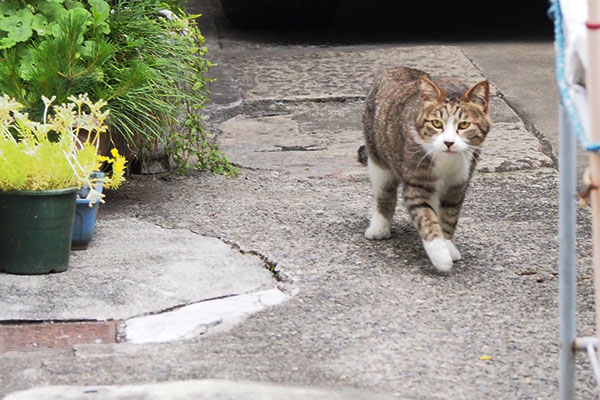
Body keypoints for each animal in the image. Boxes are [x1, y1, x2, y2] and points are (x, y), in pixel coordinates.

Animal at [360, 67, 492, 272]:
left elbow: (449, 218)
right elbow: (426, 218)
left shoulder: (458, 185)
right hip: (378, 158)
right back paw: (379, 227)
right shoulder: (417, 185)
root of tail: (398, 68)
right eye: (437, 123)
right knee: (385, 194)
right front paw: (440, 255)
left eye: (464, 125)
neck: (447, 162)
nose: (448, 142)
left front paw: (448, 245)